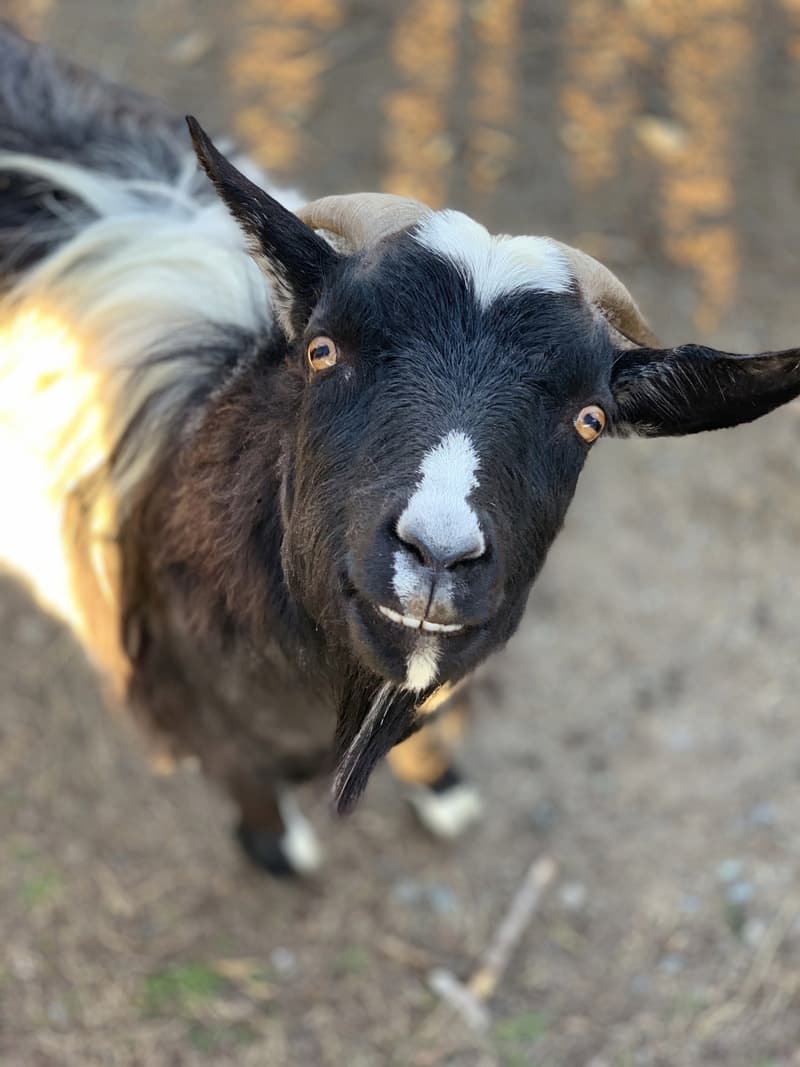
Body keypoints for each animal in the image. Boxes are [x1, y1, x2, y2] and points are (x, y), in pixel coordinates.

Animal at [2, 25, 800, 876]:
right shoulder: (185, 691)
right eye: (320, 350)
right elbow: (240, 766)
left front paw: (444, 790)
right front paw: (276, 844)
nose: (439, 555)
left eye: (590, 418)